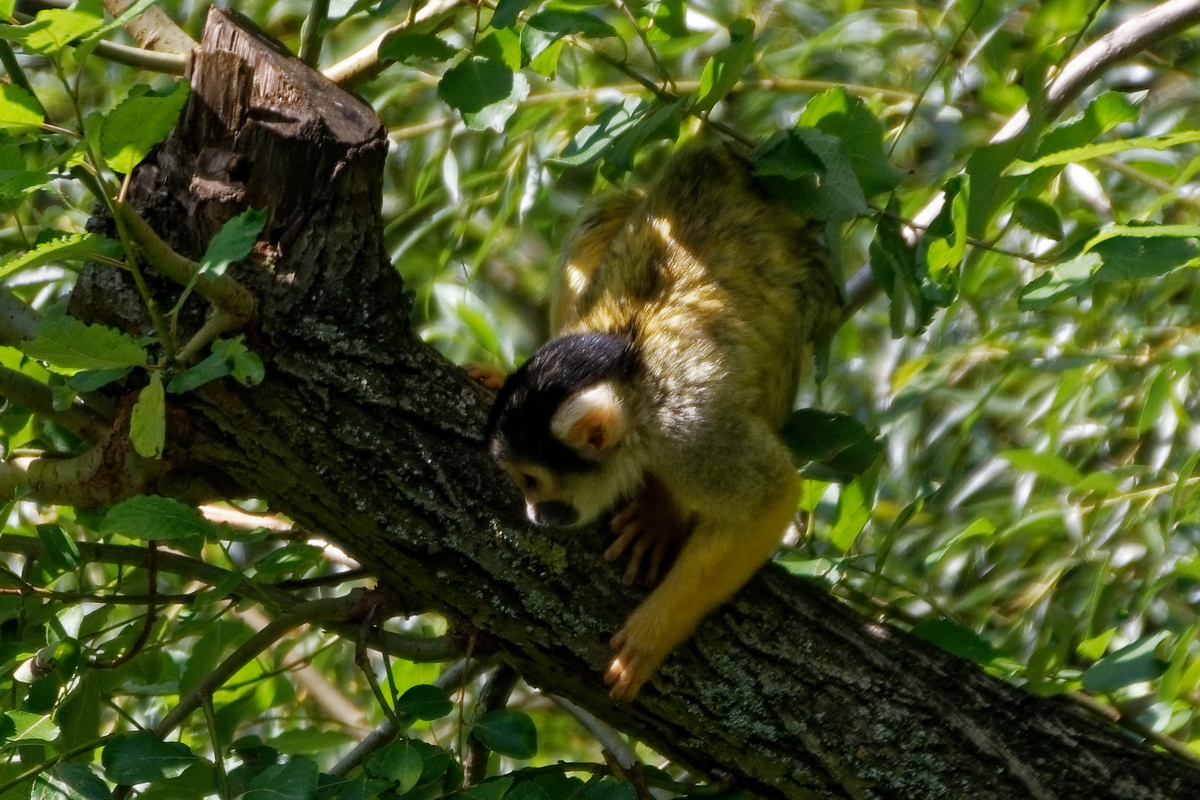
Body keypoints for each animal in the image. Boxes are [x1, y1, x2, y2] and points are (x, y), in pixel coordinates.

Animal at [482, 145, 840, 700]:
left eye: (533, 481)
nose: (535, 513)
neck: (636, 381)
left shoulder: (691, 431)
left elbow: (770, 498)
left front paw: (654, 633)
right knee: (603, 214)